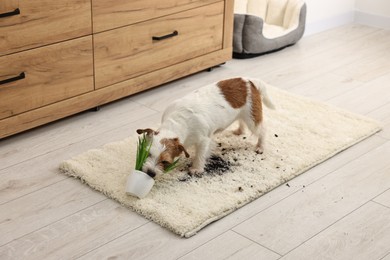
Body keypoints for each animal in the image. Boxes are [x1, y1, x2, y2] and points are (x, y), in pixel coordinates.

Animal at [136, 76, 274, 178]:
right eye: (147, 154)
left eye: (165, 161)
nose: (150, 173)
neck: (177, 121)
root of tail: (249, 81)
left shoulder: (203, 140)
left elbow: (200, 155)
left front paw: (196, 168)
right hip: (243, 114)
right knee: (242, 121)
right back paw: (239, 130)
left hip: (252, 118)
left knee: (263, 130)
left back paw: (260, 146)